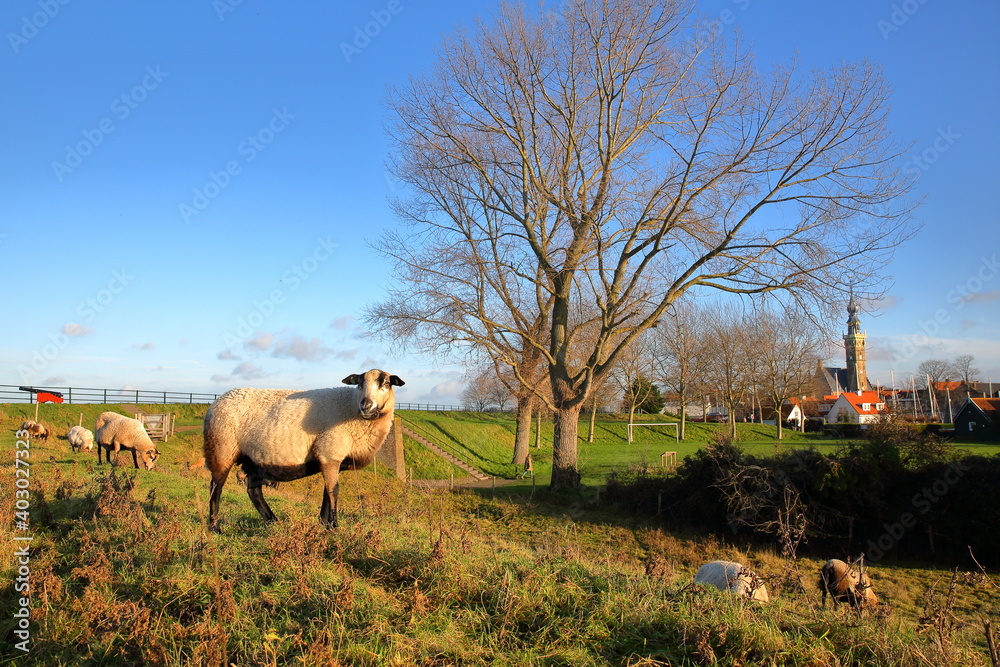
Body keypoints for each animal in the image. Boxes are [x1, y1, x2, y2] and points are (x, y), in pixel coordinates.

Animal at [203, 369, 405, 531]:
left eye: (386, 383)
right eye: (360, 383)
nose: (366, 406)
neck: (351, 408)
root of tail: (215, 405)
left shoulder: (329, 458)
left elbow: (326, 492)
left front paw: (323, 524)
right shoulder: (330, 453)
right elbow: (334, 491)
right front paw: (334, 526)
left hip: (252, 458)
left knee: (254, 491)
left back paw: (273, 521)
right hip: (222, 448)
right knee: (215, 488)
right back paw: (215, 527)